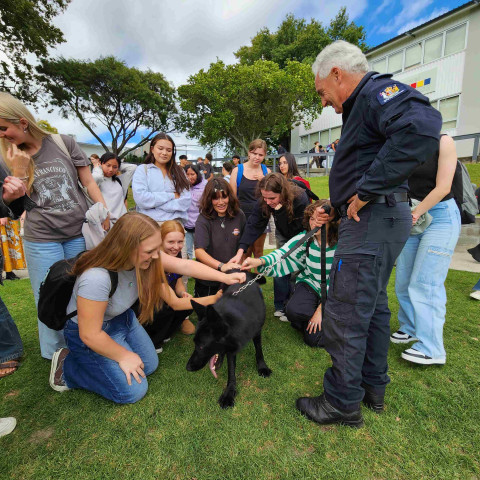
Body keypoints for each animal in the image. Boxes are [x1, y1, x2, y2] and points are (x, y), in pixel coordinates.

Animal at [186, 276, 272, 406]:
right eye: (195, 343)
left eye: (201, 346)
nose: (188, 368)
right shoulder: (231, 350)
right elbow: (231, 370)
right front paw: (229, 393)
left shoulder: (257, 331)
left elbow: (259, 350)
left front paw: (262, 367)